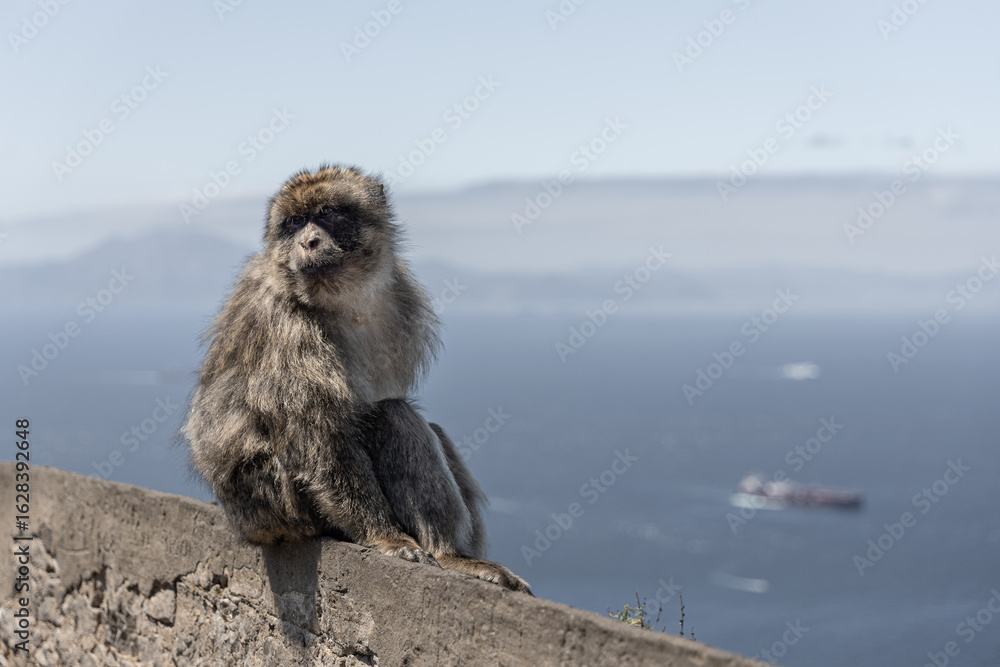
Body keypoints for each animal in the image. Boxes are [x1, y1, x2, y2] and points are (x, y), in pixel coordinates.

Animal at [182, 164, 531, 594]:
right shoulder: (288, 327)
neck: (341, 296)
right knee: (392, 416)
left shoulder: (399, 299)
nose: (309, 241)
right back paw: (449, 555)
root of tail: (249, 527)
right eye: (294, 222)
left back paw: (458, 556)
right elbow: (321, 440)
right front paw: (388, 538)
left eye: (327, 213)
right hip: (281, 503)